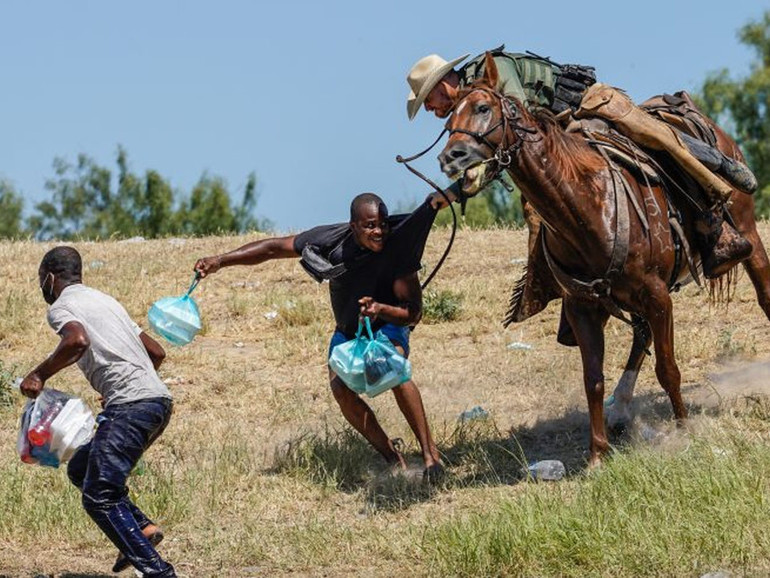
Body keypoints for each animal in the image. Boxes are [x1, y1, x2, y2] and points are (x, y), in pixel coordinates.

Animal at [438, 54, 768, 466]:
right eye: (448, 119)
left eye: (483, 108)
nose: (450, 157)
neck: (588, 207)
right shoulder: (583, 306)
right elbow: (592, 379)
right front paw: (597, 453)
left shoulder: (658, 296)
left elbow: (668, 369)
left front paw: (684, 430)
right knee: (640, 336)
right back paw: (621, 410)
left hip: (747, 233)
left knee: (763, 294)